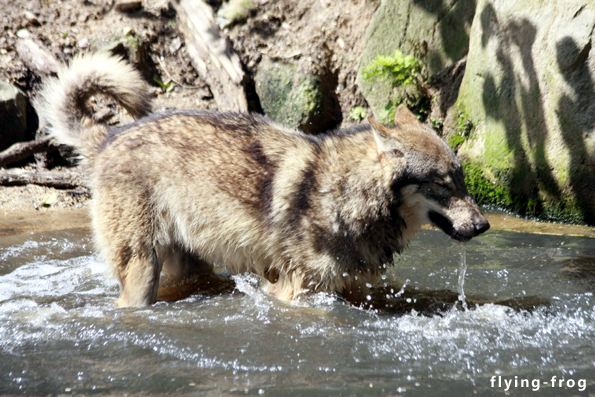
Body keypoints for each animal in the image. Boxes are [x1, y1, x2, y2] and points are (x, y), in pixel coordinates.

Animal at [40, 52, 488, 306]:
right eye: (443, 185)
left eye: (462, 180)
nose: (483, 225)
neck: (346, 194)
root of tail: (110, 138)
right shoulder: (293, 293)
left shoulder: (348, 287)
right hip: (140, 273)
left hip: (190, 266)